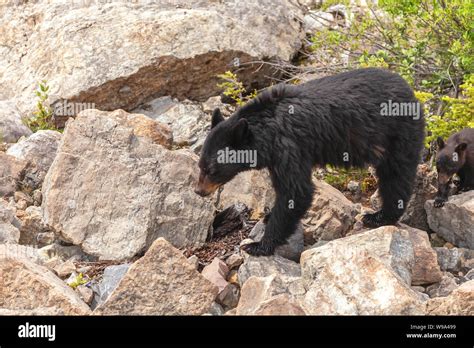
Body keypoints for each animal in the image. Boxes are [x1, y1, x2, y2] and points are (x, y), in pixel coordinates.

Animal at [196, 68, 426, 256]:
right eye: (200, 166)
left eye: (211, 169)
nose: (199, 191)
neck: (266, 130)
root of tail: (410, 90)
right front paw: (268, 216)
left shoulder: (289, 147)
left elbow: (297, 191)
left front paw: (259, 245)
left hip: (397, 133)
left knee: (395, 175)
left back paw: (379, 216)